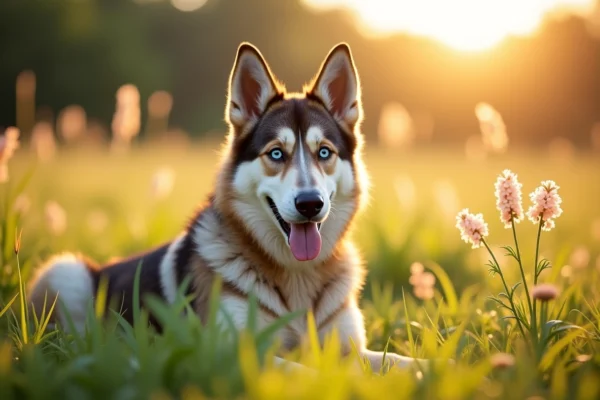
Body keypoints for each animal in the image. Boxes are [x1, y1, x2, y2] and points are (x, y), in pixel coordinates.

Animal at [28, 42, 426, 370]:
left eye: (324, 152)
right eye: (276, 154)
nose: (310, 203)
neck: (296, 275)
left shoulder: (350, 349)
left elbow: (401, 362)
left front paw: (435, 370)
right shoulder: (232, 350)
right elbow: (307, 371)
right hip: (66, 271)